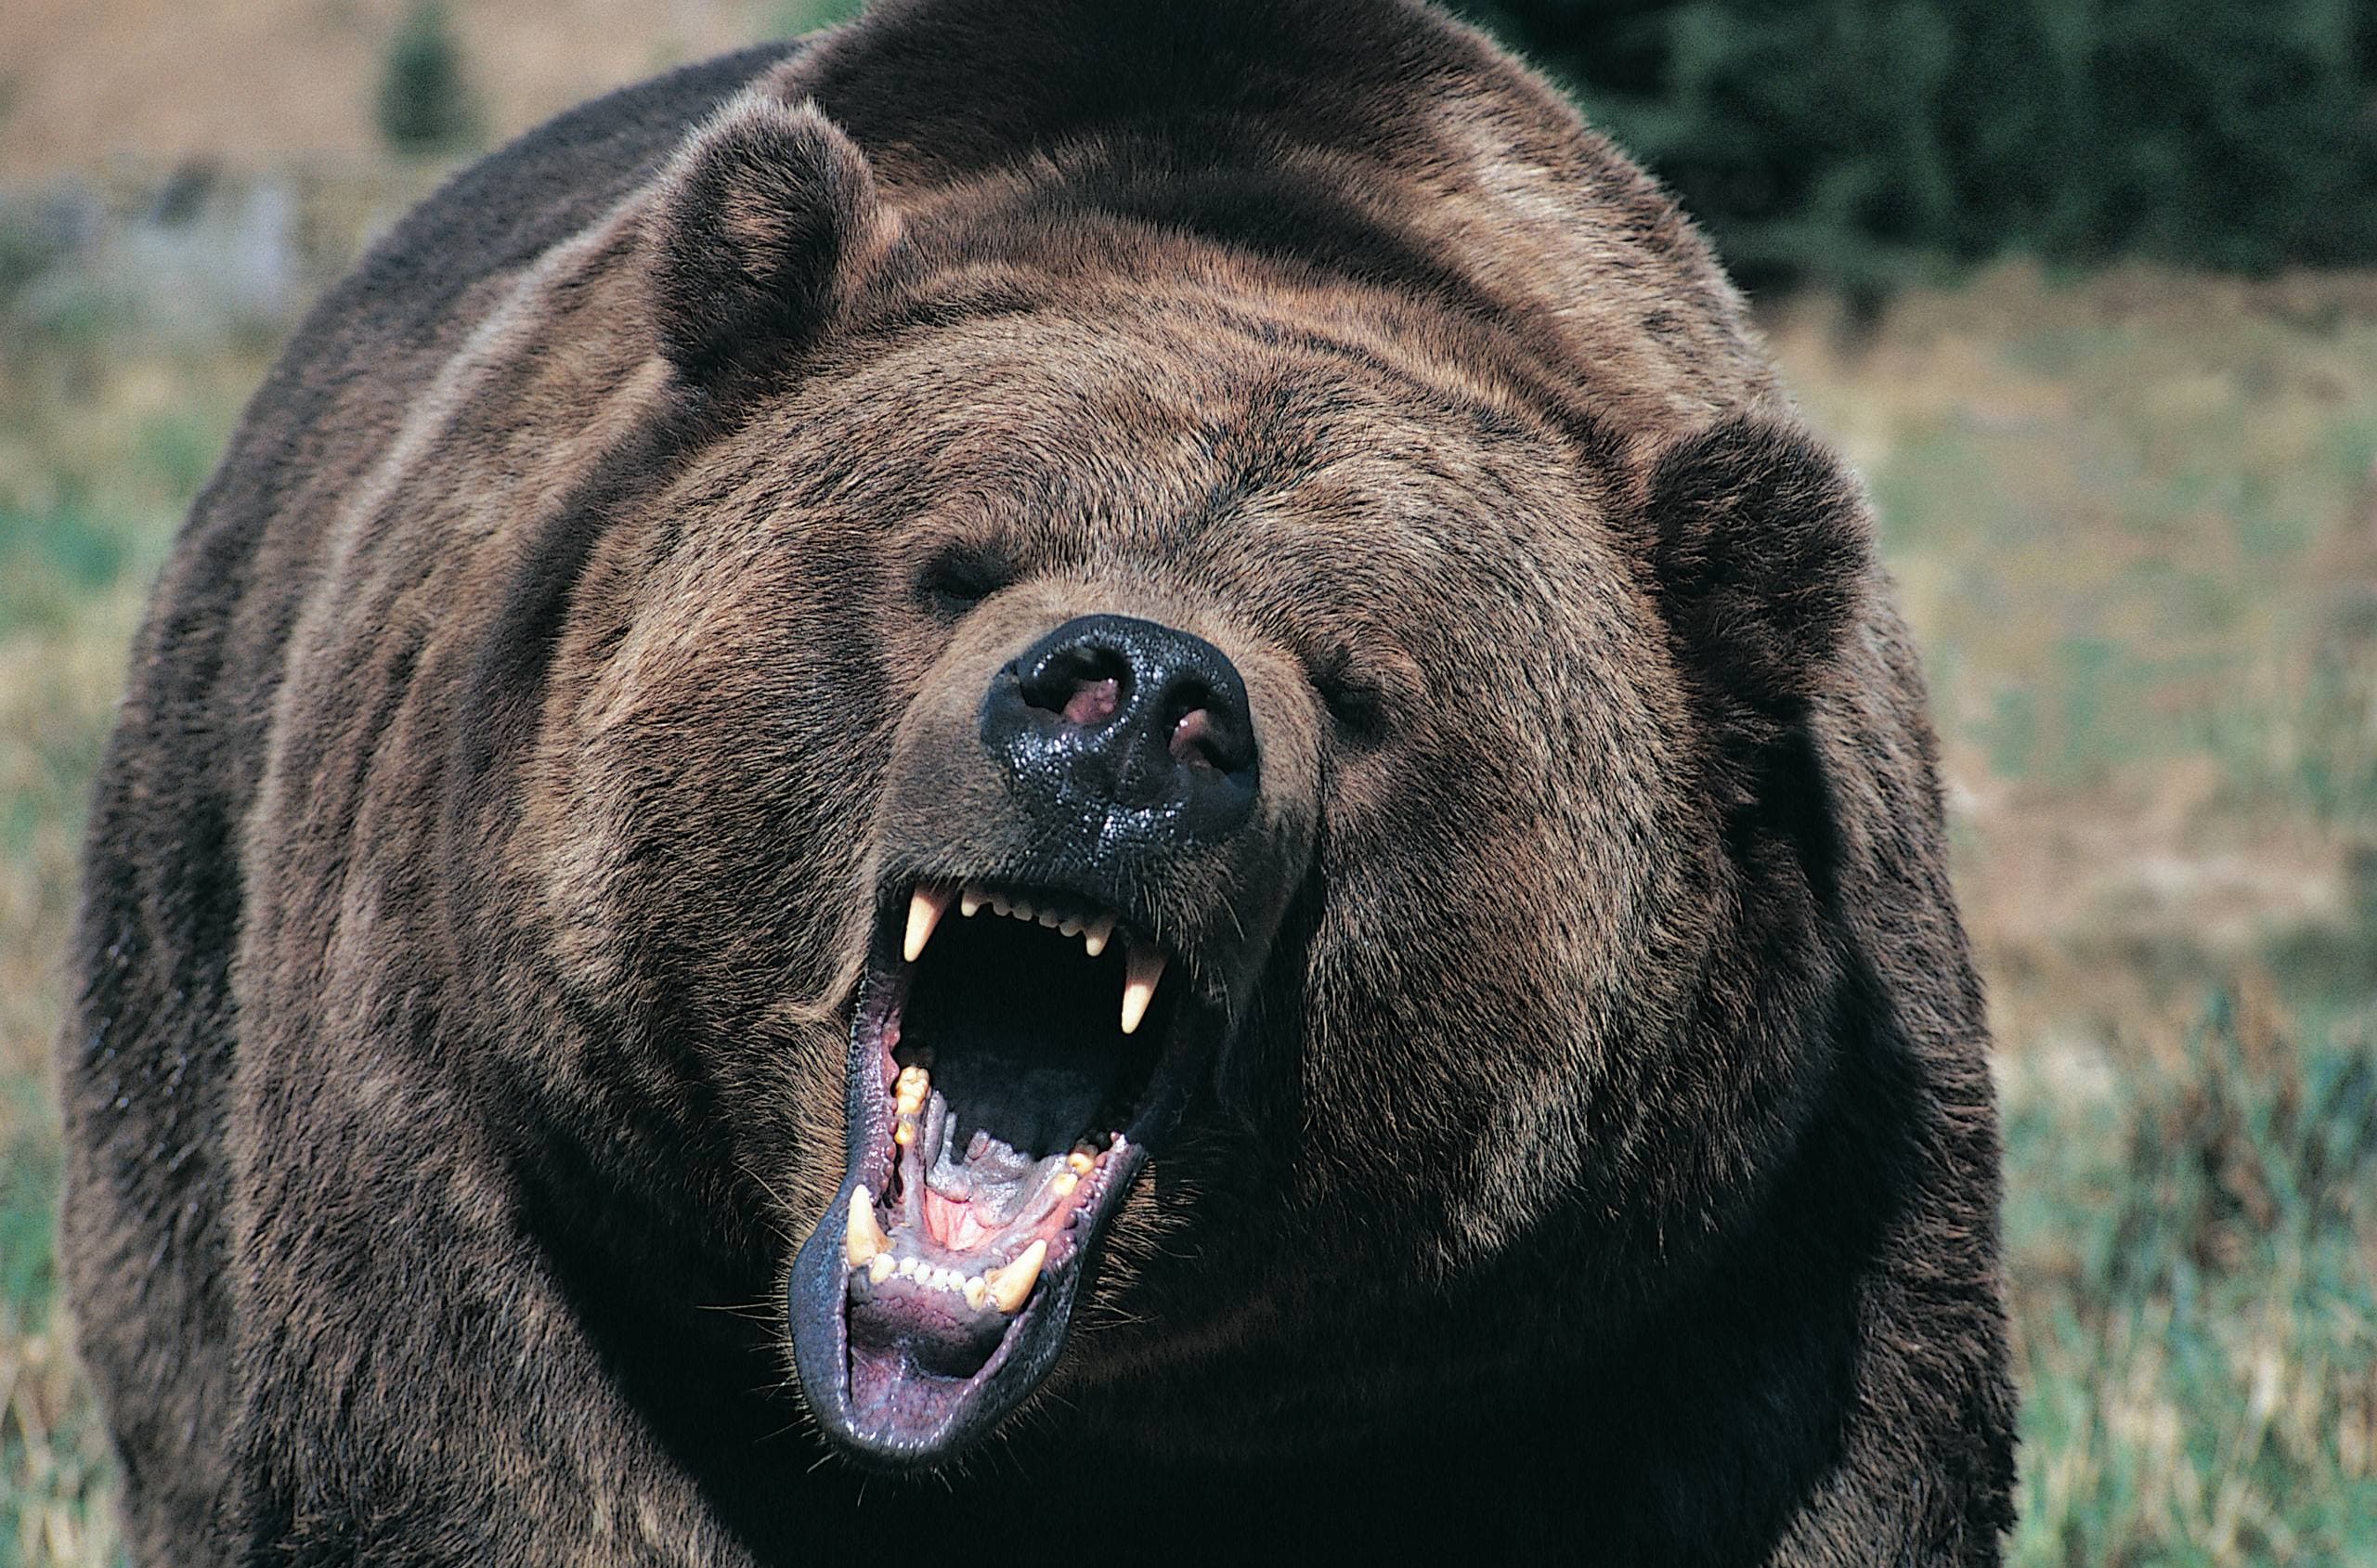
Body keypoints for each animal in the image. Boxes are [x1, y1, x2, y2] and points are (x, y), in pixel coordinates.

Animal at [57, 0, 2017, 1560]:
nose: (1135, 707)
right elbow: (491, 1467)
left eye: (1363, 683)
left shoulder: (1730, 1266)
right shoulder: (503, 1159)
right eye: (960, 561)